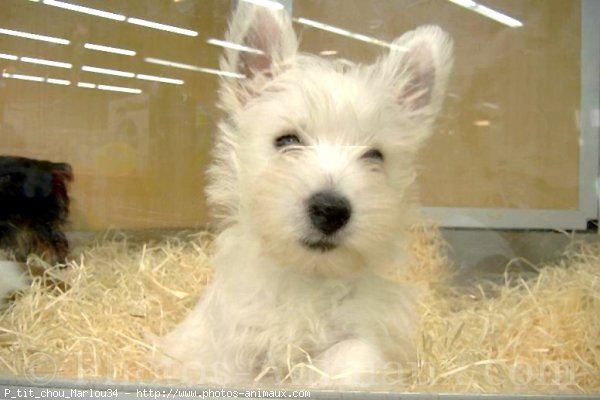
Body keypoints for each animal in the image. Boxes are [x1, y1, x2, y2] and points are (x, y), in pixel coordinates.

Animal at [157, 1, 452, 386]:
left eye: (374, 155)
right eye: (287, 140)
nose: (330, 210)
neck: (306, 280)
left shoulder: (364, 331)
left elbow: (354, 355)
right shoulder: (228, 351)